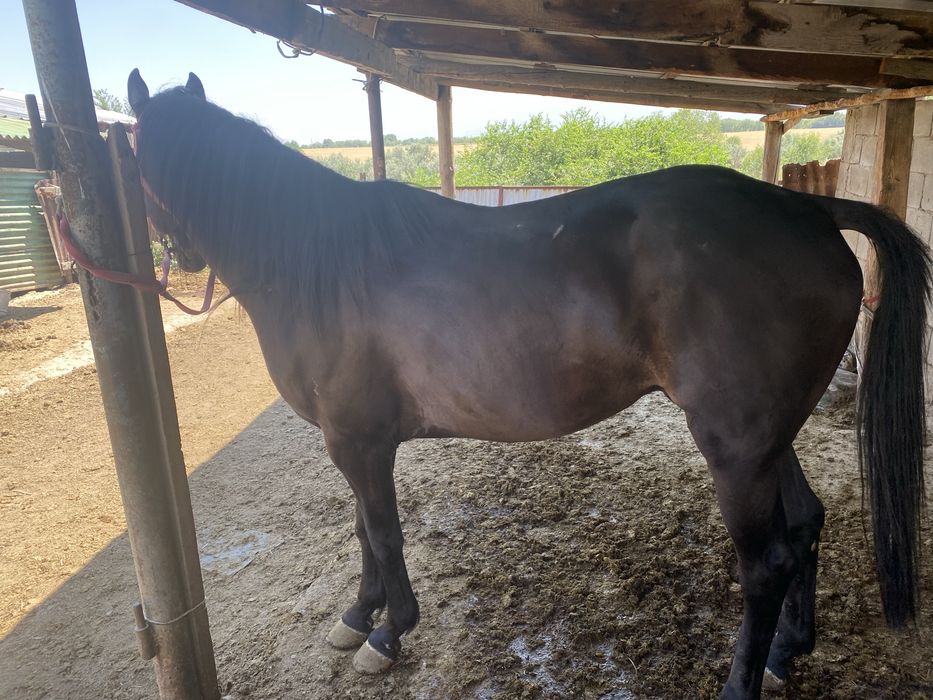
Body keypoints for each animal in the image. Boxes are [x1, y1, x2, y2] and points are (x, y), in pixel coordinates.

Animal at [126, 69, 929, 700]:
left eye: (129, 151)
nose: (181, 256)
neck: (321, 263)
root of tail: (806, 208)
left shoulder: (356, 440)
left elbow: (382, 533)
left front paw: (388, 635)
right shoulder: (353, 439)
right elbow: (363, 530)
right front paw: (357, 617)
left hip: (734, 448)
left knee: (765, 565)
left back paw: (741, 681)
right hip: (766, 438)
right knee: (804, 526)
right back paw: (785, 654)